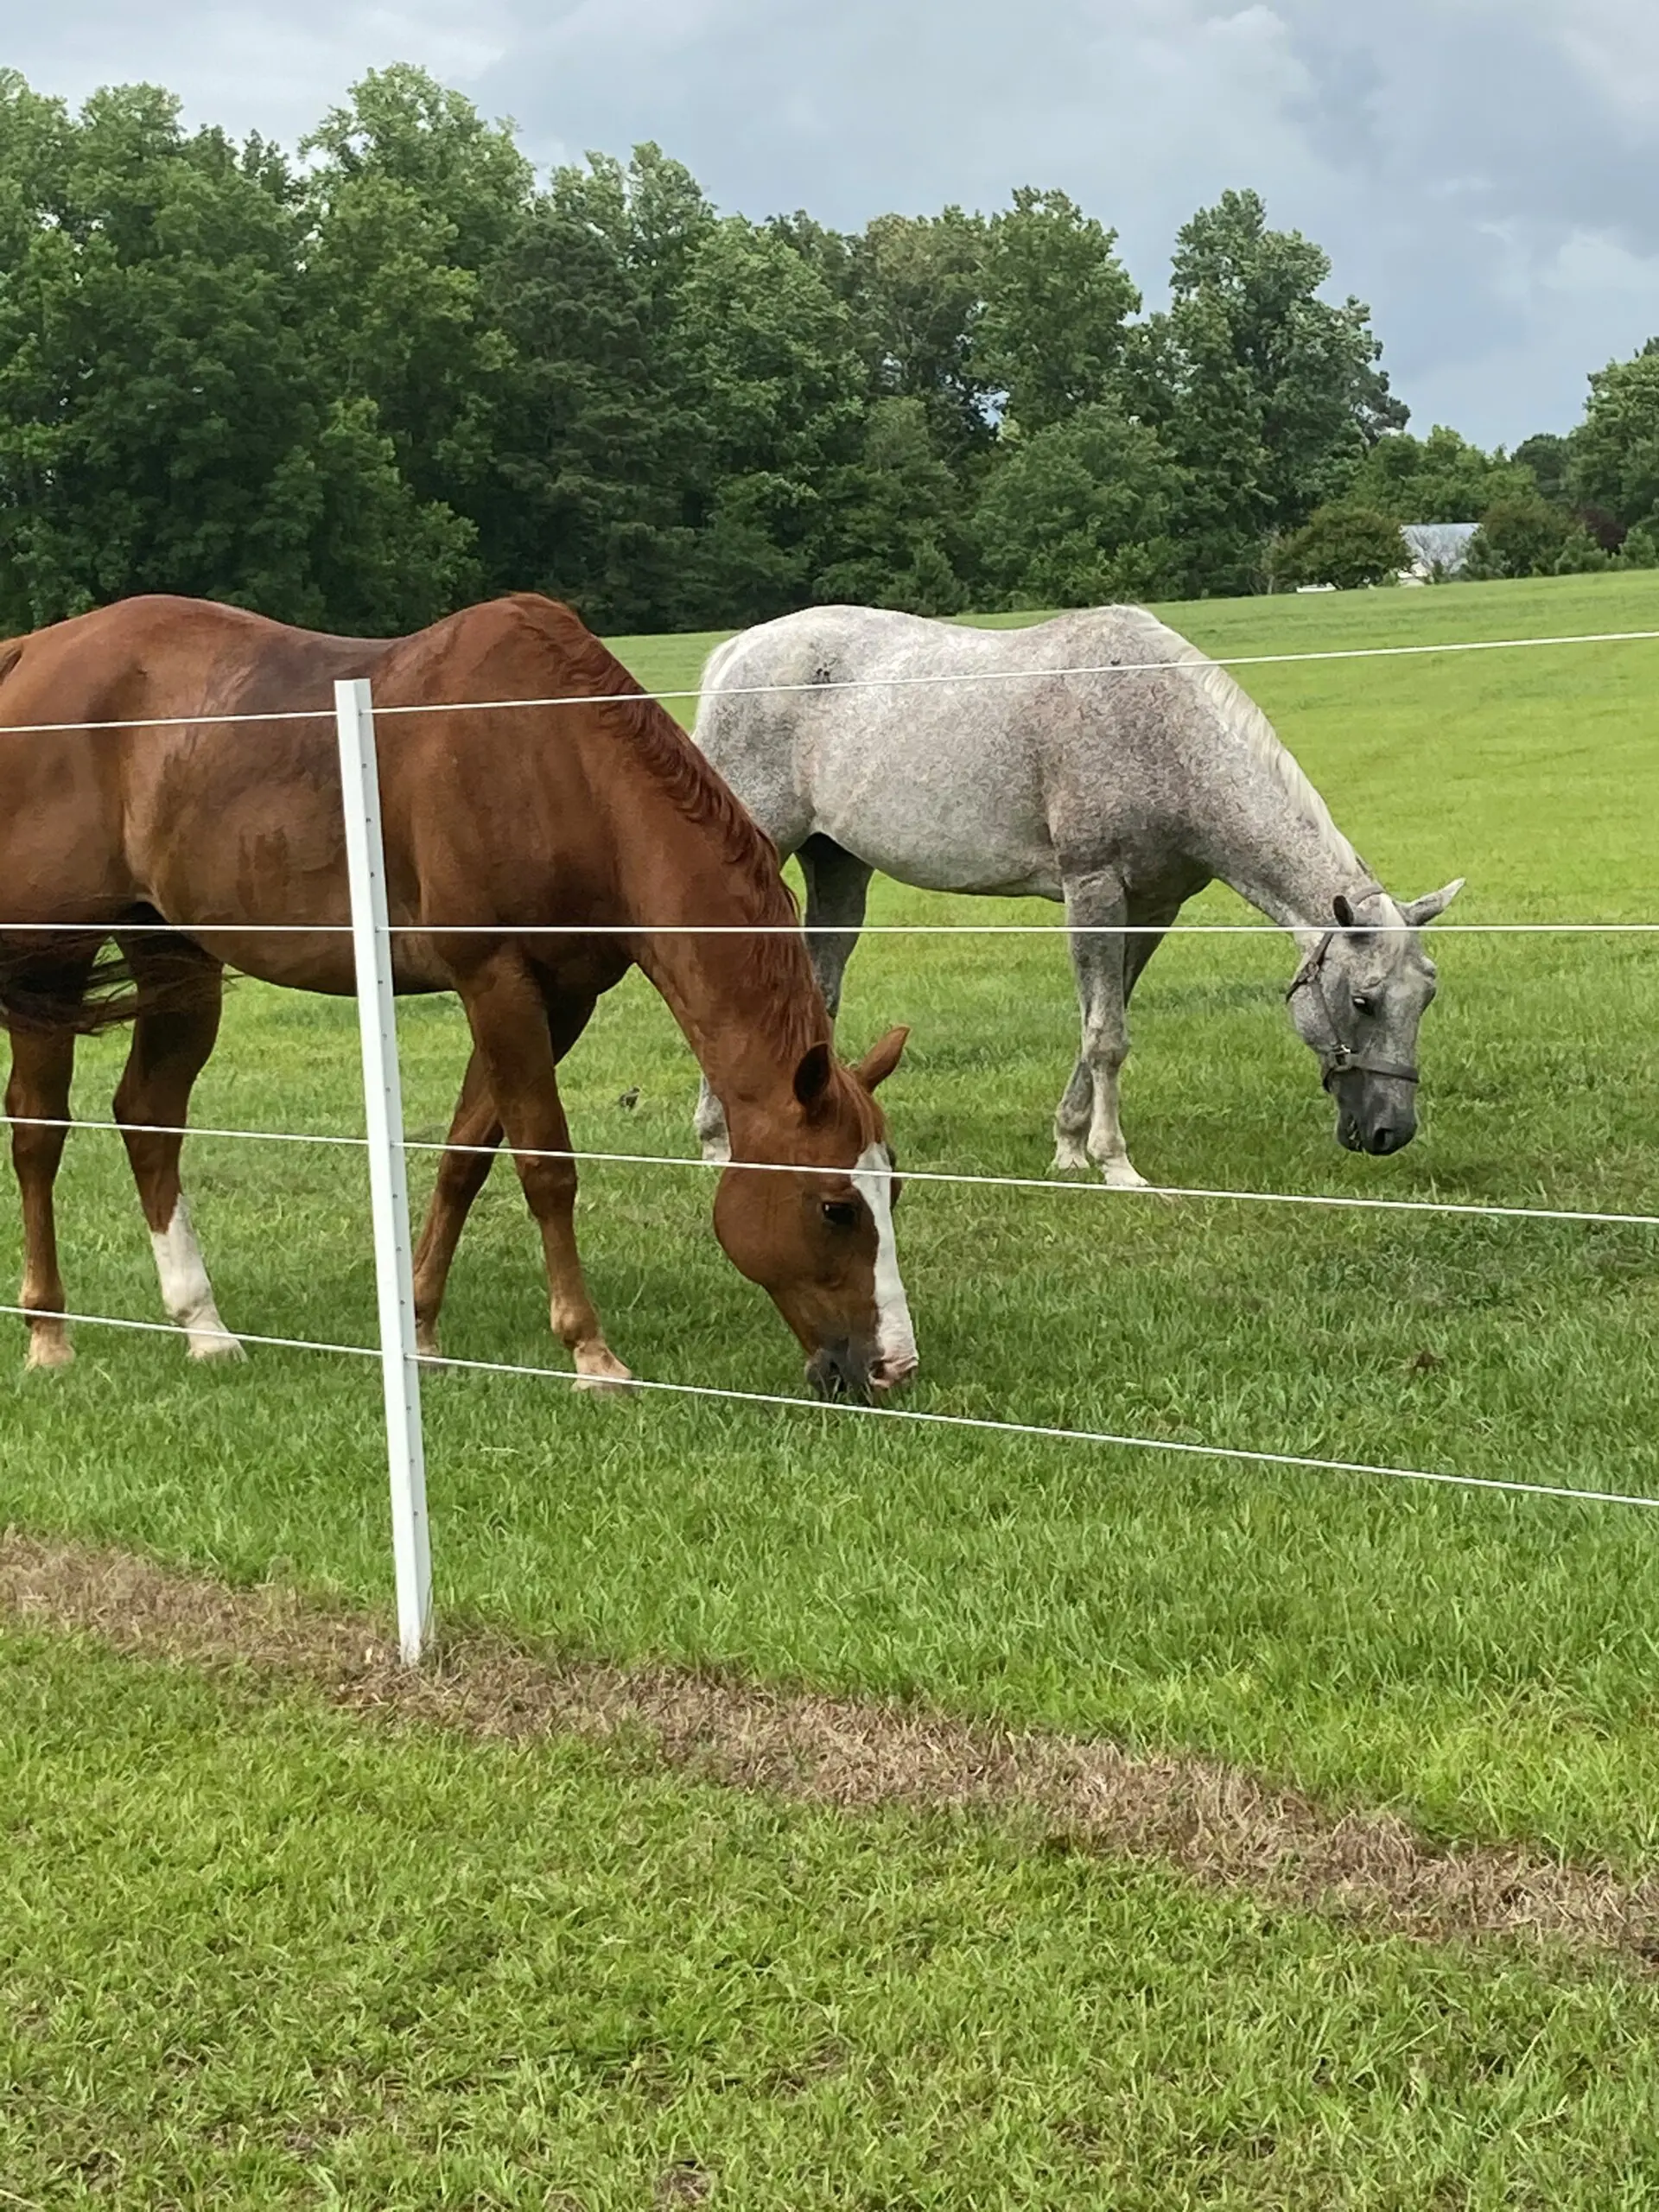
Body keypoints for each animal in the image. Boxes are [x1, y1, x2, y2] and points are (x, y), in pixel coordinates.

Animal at [0, 593, 915, 1397]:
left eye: (894, 1187)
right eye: (836, 1208)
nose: (892, 1367)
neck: (557, 762)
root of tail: (29, 654)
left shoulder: (557, 1000)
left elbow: (466, 1157)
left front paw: (419, 1329)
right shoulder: (497, 981)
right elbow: (545, 1164)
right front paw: (590, 1353)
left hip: (176, 961)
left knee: (149, 1118)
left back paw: (205, 1328)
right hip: (51, 963)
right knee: (38, 1131)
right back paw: (49, 1333)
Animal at [694, 606, 1459, 1194]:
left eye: (1424, 997)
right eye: (1362, 1000)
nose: (1392, 1130)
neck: (1161, 731)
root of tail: (735, 651)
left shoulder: (1151, 910)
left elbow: (1101, 1022)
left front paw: (1068, 1146)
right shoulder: (1093, 889)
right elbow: (1106, 1037)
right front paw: (1116, 1164)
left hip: (840, 867)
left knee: (818, 991)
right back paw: (717, 1141)